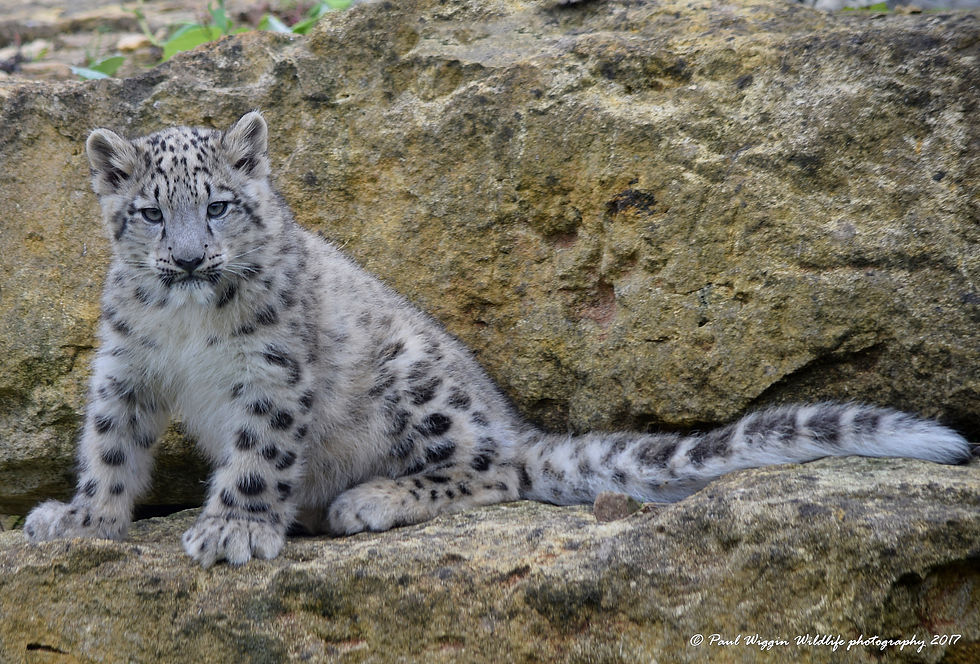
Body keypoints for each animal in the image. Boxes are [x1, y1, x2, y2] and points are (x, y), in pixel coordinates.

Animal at [23, 112, 972, 567]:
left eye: (218, 203)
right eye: (151, 213)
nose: (188, 259)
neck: (185, 327)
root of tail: (516, 421)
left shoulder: (274, 369)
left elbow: (260, 452)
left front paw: (234, 528)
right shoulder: (125, 365)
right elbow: (109, 444)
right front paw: (81, 517)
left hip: (418, 385)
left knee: (494, 470)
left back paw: (372, 500)